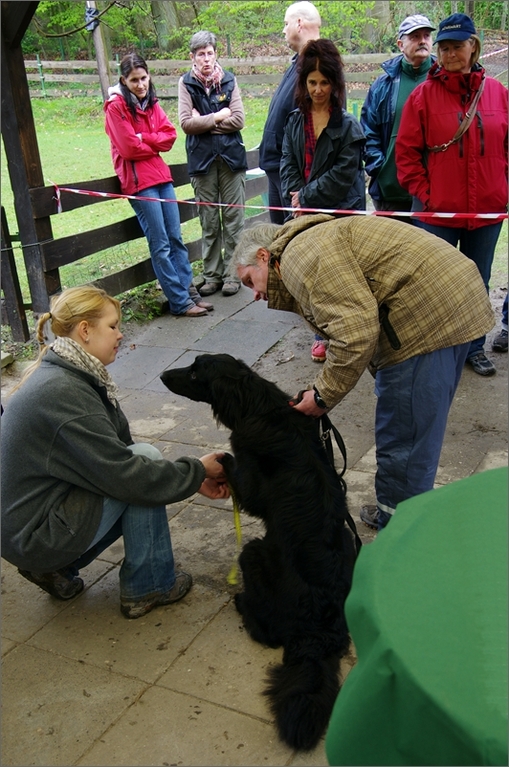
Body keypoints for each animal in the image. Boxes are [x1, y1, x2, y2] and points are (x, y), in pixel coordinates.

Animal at [161, 356, 360, 752]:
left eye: (195, 371)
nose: (162, 375)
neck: (256, 404)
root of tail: (318, 633)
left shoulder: (252, 489)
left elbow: (230, 462)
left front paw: (219, 461)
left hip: (253, 552)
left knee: (266, 633)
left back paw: (242, 603)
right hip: (347, 537)